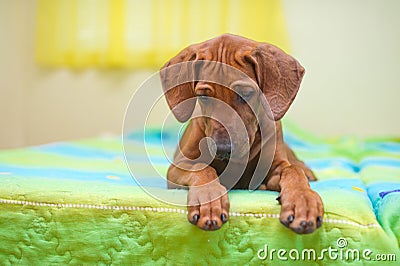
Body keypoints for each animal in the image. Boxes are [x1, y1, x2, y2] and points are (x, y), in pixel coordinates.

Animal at [161, 33, 324, 235]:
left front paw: (303, 201)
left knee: (296, 163)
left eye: (245, 93)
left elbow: (292, 170)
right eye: (204, 96)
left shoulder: (276, 165)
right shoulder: (177, 167)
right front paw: (209, 201)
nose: (223, 149)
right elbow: (202, 168)